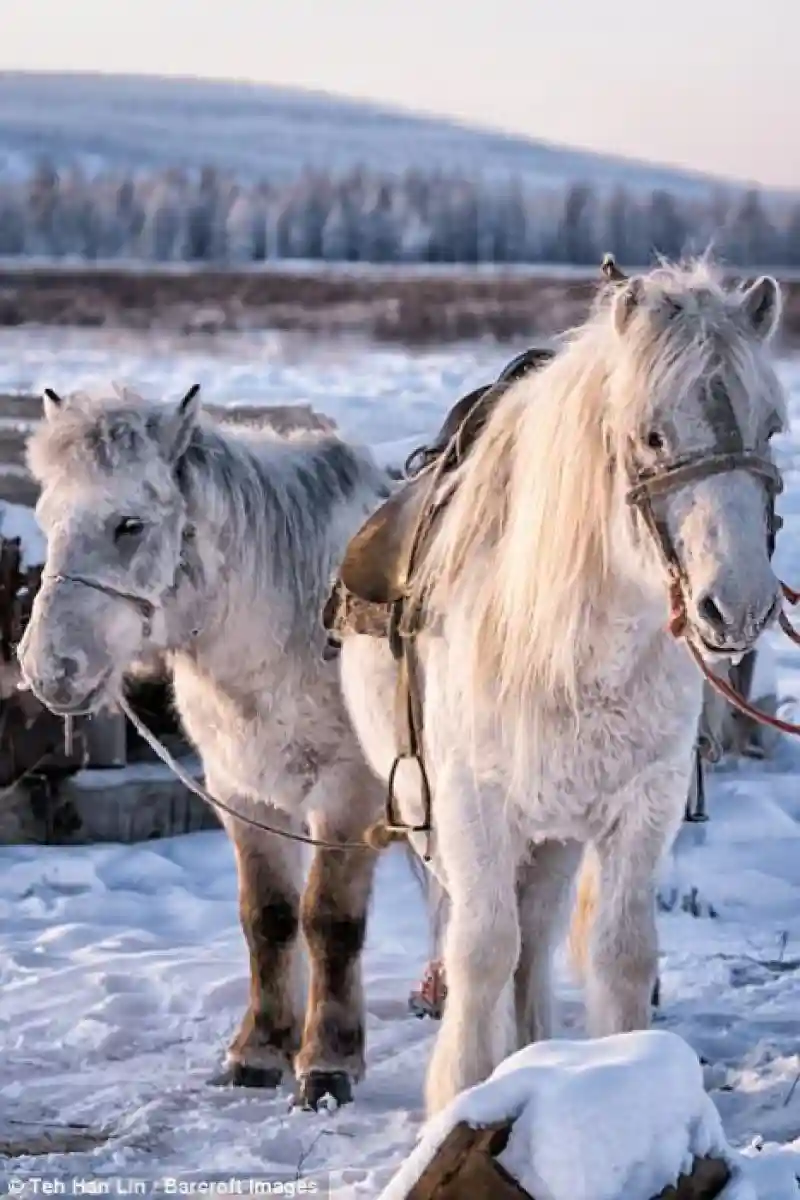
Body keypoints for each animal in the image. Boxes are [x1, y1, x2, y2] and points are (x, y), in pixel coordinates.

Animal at [335, 258, 786, 1118]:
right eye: (652, 434)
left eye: (772, 428)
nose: (739, 605)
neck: (569, 646)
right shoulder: (470, 803)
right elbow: (481, 947)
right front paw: (460, 1092)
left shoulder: (642, 805)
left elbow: (618, 953)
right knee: (475, 926)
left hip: (552, 836)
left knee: (535, 937)